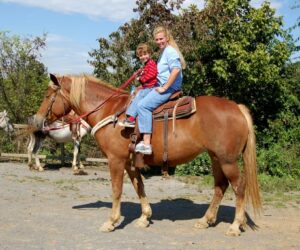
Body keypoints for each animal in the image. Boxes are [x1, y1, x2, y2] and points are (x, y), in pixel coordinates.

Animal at [32, 73, 262, 236]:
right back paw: (206, 220)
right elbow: (138, 186)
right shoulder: (129, 162)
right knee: (220, 187)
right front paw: (145, 217)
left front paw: (111, 221)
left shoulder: (116, 160)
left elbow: (117, 190)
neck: (111, 112)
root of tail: (237, 108)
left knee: (239, 187)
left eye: (47, 96)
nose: (37, 120)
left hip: (227, 160)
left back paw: (234, 226)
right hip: (216, 158)